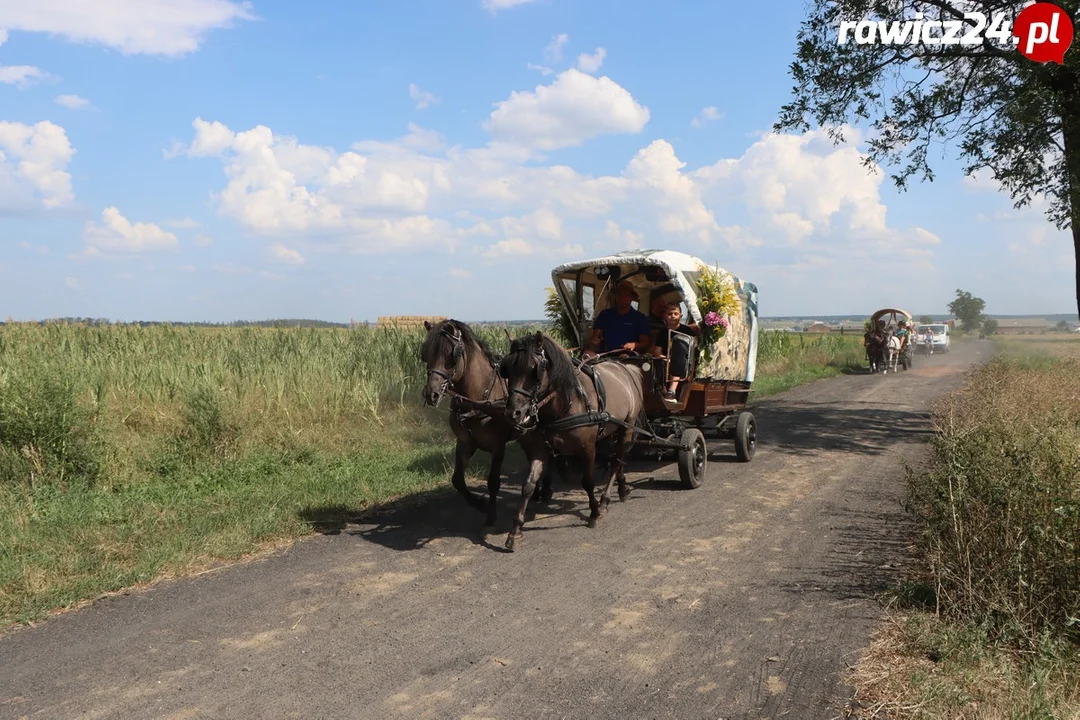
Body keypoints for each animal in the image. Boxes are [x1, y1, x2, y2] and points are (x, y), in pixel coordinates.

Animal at [419, 319, 552, 524]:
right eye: (426, 354)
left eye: (451, 355)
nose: (430, 393)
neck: (478, 399)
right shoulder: (465, 443)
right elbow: (457, 480)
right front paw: (479, 504)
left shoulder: (498, 446)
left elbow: (493, 482)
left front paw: (490, 515)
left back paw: (545, 489)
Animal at [496, 332, 648, 552]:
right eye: (507, 369)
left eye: (534, 369)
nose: (513, 413)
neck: (565, 404)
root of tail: (626, 368)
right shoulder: (540, 450)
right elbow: (528, 485)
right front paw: (515, 531)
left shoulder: (588, 448)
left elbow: (588, 482)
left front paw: (594, 513)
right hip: (612, 429)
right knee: (617, 460)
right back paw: (622, 489)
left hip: (627, 426)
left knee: (616, 461)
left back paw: (605, 500)